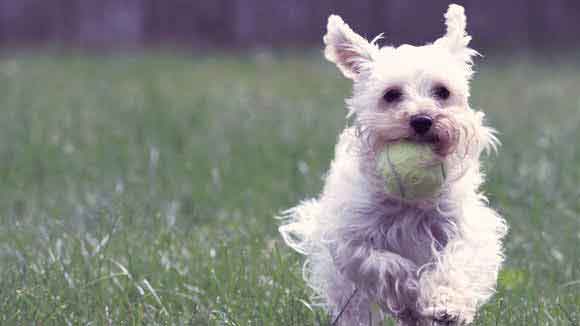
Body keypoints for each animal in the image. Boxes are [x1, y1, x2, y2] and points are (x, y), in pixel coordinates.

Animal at [280, 5, 508, 326]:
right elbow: (384, 264)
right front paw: (412, 290)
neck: (411, 205)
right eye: (391, 94)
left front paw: (446, 303)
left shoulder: (462, 227)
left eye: (443, 91)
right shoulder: (353, 239)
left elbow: (457, 260)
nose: (422, 120)